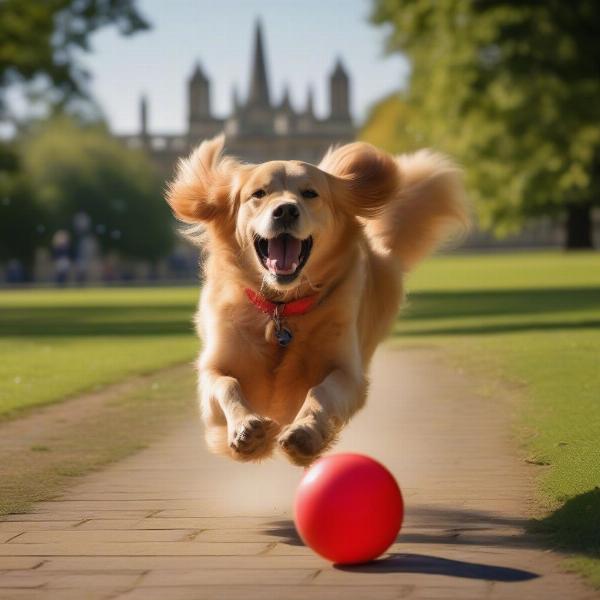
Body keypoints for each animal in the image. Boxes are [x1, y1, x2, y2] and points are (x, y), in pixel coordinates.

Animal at [165, 137, 468, 468]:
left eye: (310, 193)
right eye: (258, 193)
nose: (285, 210)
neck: (281, 308)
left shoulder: (347, 372)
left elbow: (321, 392)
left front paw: (305, 434)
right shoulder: (214, 365)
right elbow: (227, 385)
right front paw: (247, 430)